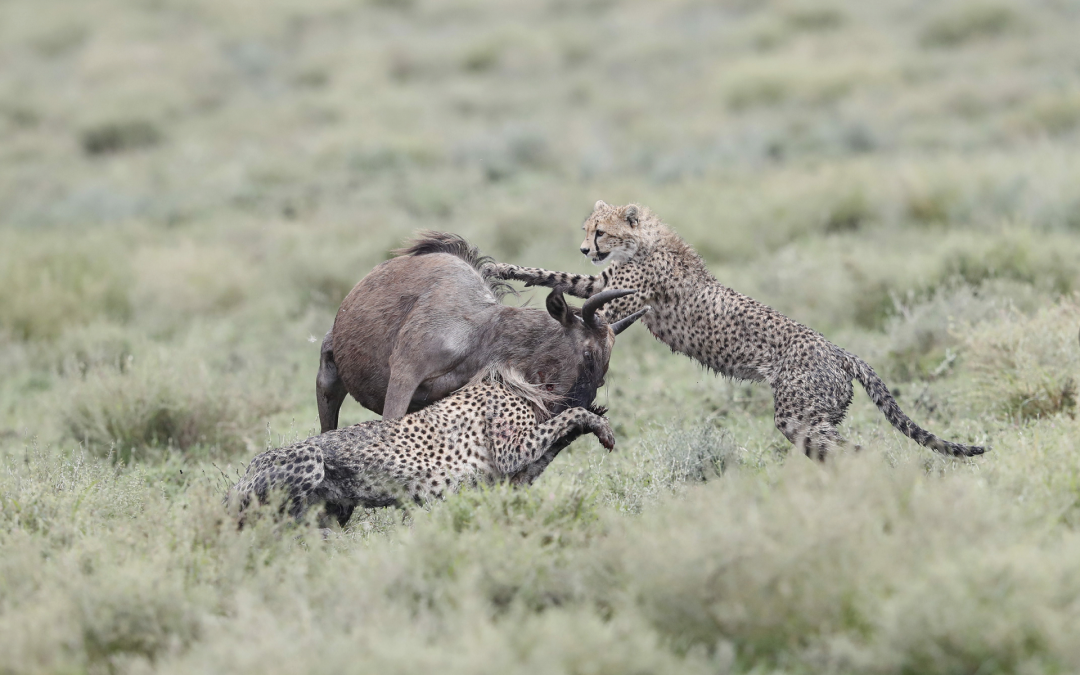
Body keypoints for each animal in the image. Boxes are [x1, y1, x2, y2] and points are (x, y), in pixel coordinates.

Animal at [227, 380, 617, 527]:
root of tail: (245, 472)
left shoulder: (508, 477)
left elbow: (556, 440)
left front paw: (594, 419)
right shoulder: (513, 451)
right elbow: (564, 419)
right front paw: (597, 421)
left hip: (333, 509)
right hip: (309, 461)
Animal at [488, 198, 989, 457]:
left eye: (601, 232)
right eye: (587, 229)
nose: (584, 248)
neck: (644, 241)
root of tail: (837, 349)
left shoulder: (619, 299)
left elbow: (572, 295)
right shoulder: (603, 283)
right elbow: (558, 277)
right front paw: (505, 269)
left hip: (799, 415)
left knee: (854, 450)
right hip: (816, 415)